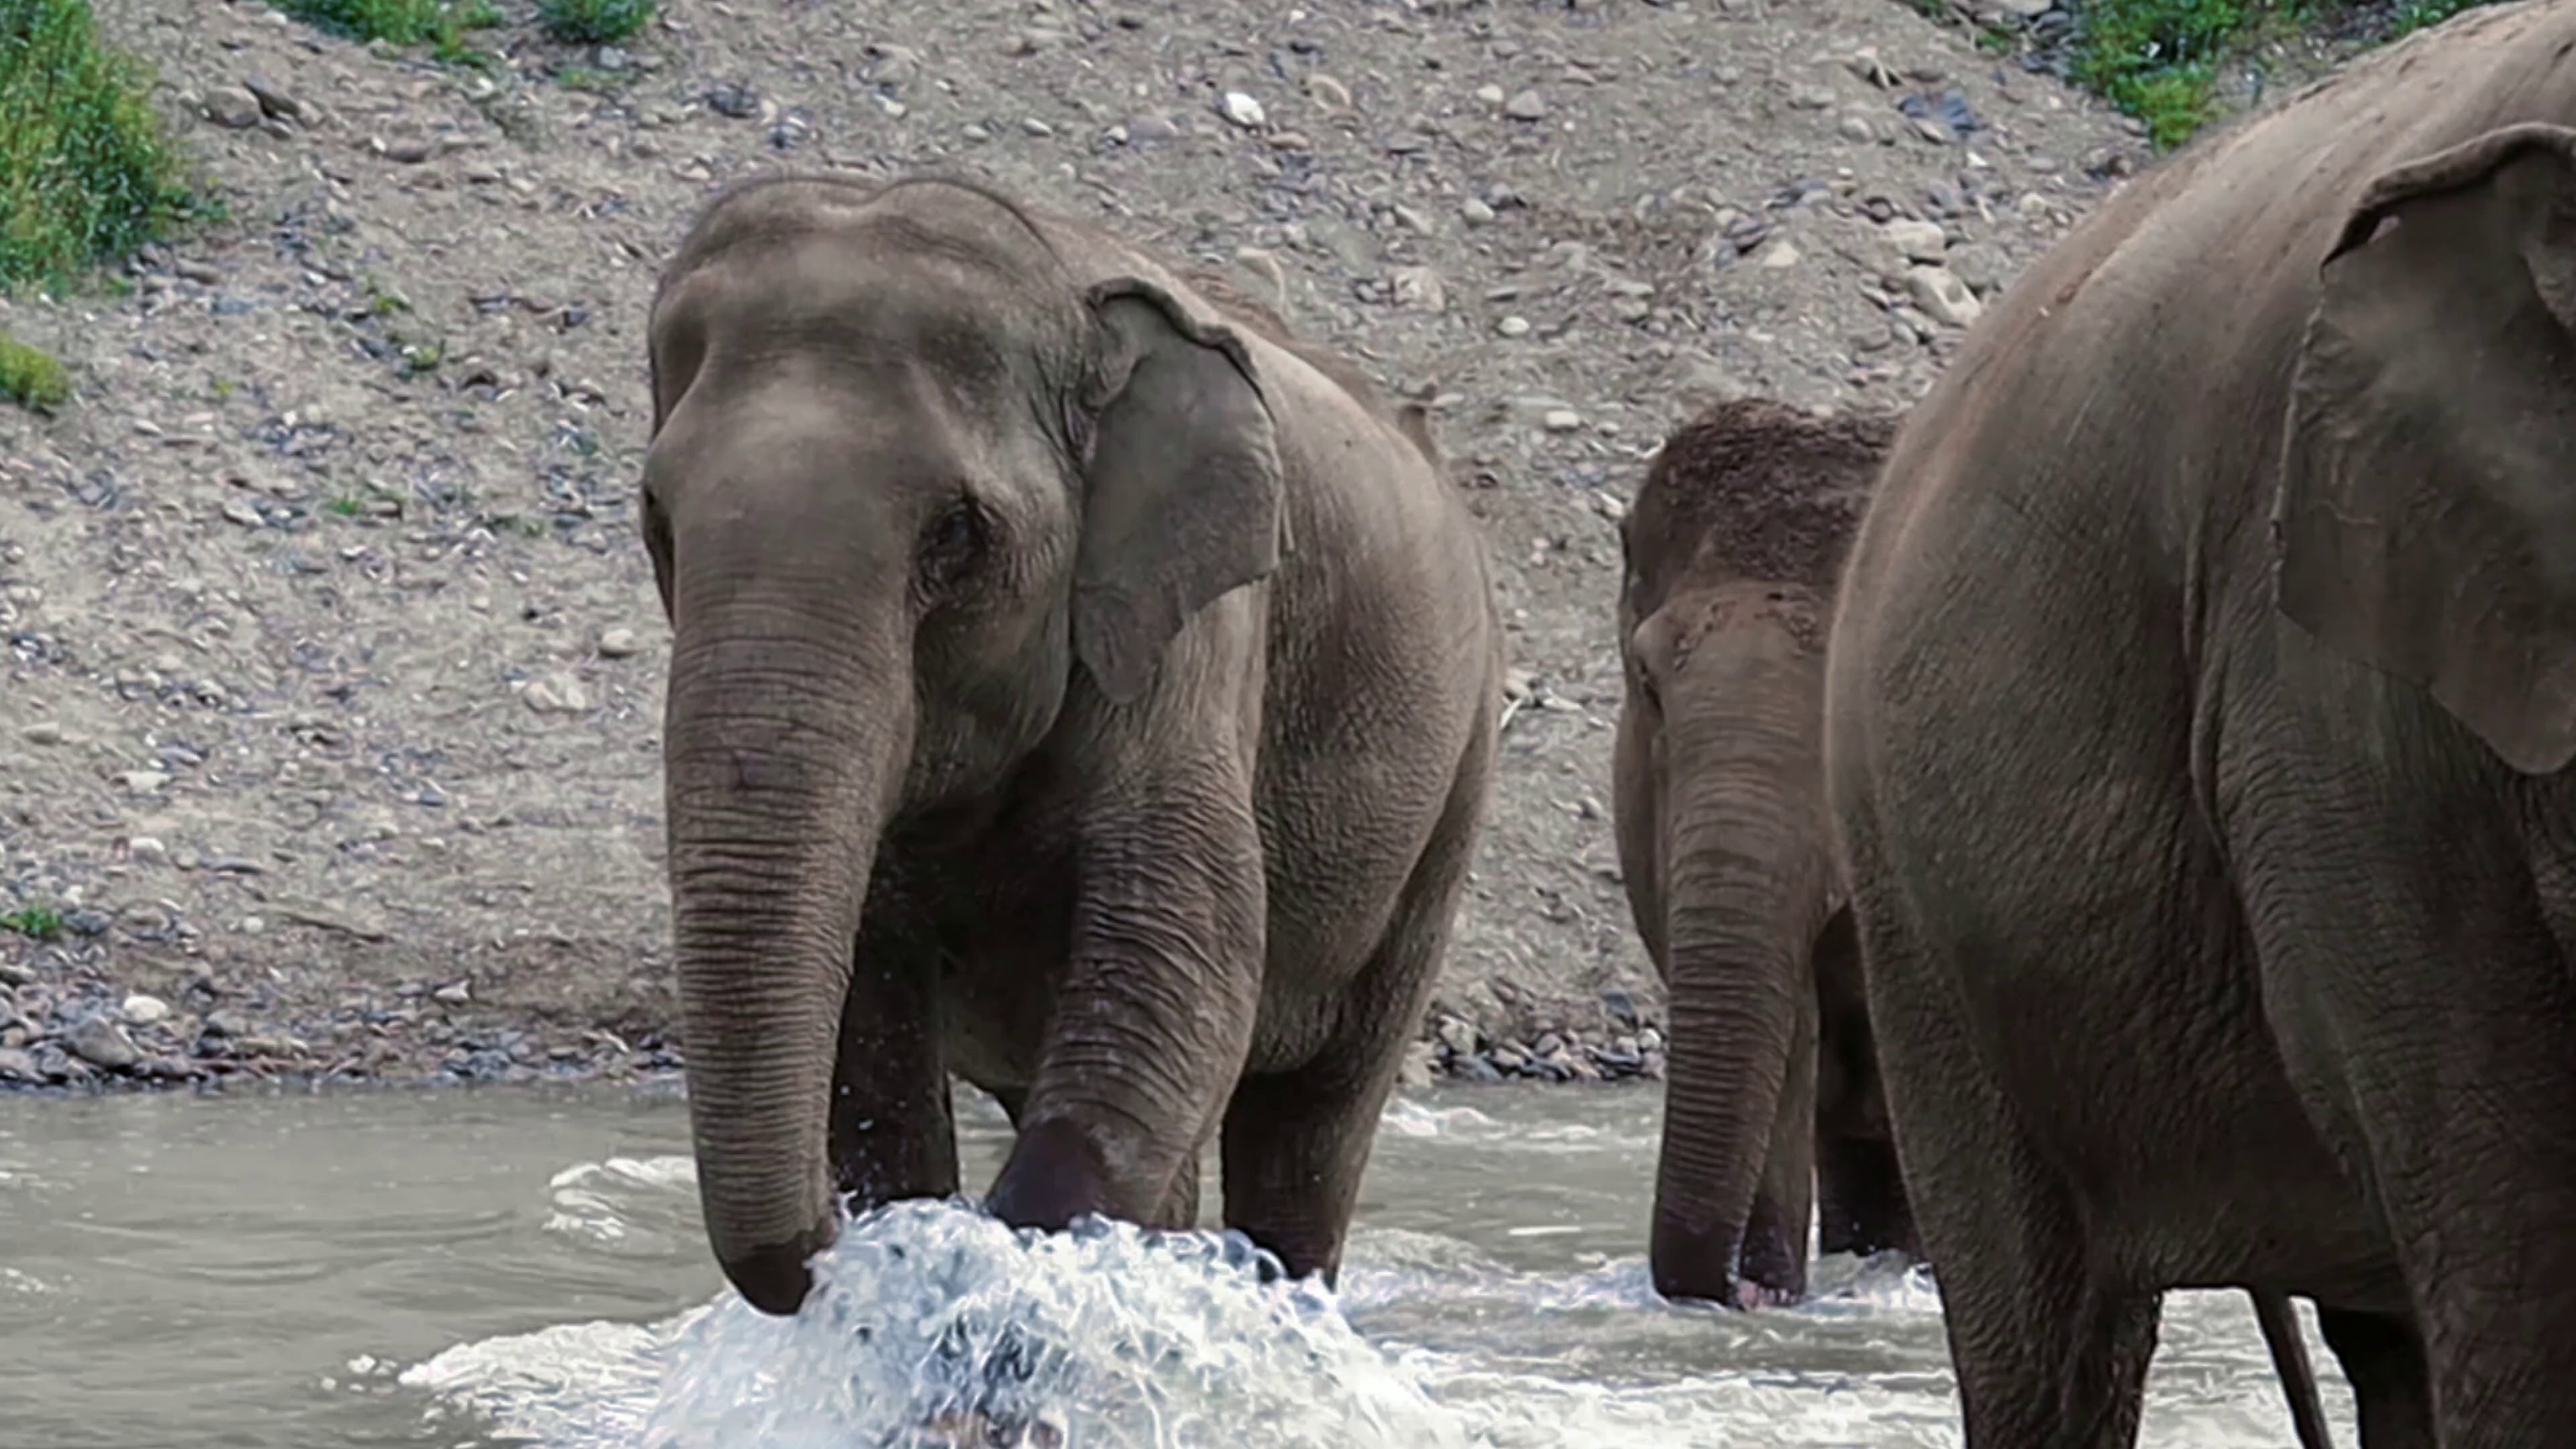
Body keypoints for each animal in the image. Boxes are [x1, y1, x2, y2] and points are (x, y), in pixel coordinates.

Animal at [637, 171, 1505, 1317]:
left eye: (959, 535)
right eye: (657, 519)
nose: (830, 1248)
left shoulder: (1196, 630)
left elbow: (1176, 975)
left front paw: (1001, 1271)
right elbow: (872, 1005)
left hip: (1452, 788)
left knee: (1311, 1121)